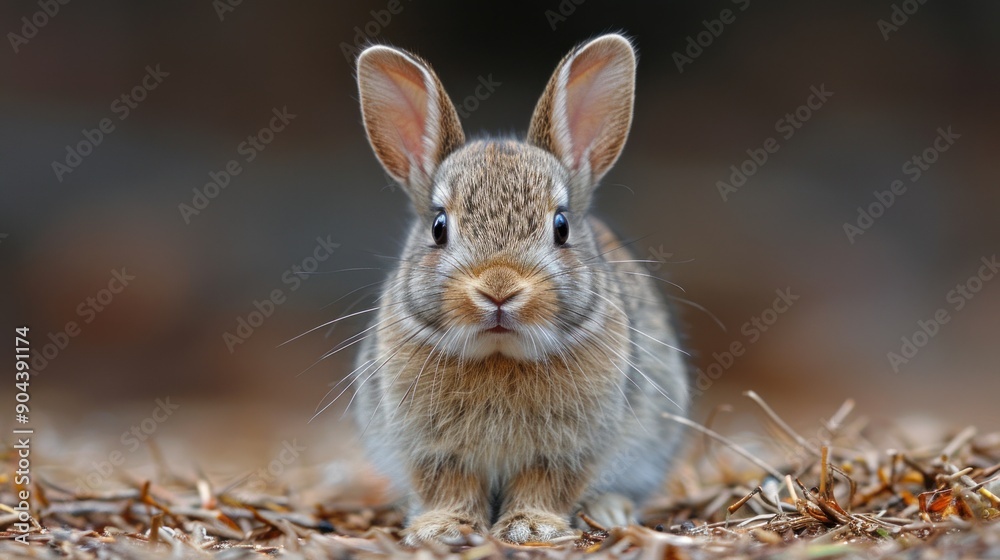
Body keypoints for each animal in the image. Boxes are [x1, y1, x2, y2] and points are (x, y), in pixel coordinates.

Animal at [349, 33, 690, 545]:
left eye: (562, 227)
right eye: (438, 227)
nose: (499, 289)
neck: (499, 354)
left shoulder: (568, 449)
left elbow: (545, 485)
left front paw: (531, 528)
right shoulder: (433, 450)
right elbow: (449, 486)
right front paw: (441, 529)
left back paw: (610, 511)